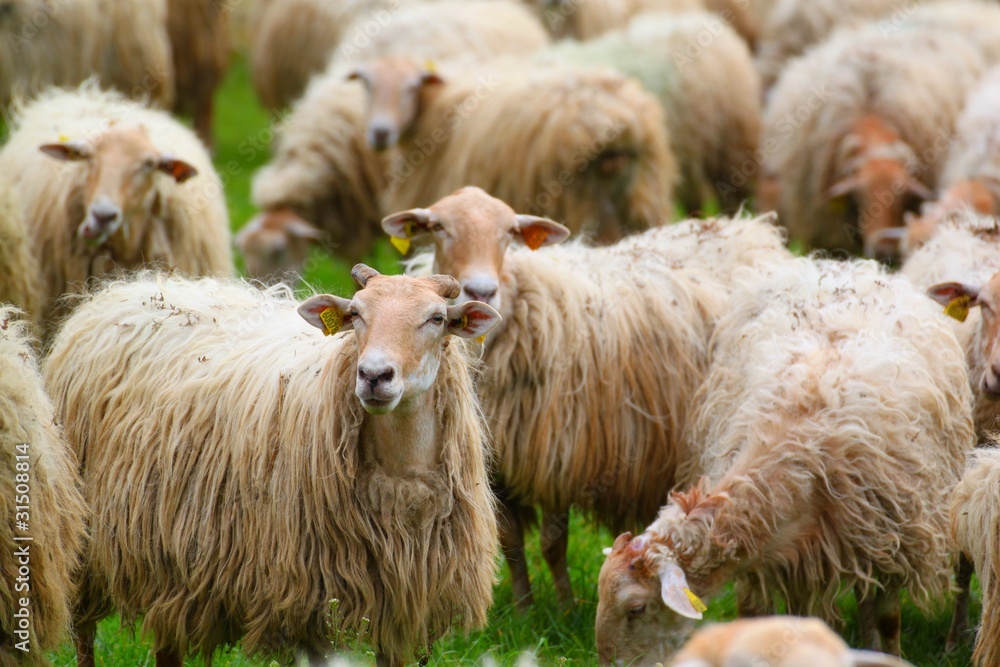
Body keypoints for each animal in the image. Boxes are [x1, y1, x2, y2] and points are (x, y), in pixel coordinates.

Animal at [44, 266, 501, 667]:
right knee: (84, 633)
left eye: (437, 318)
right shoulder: (309, 602)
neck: (401, 473)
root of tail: (125, 287)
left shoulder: (402, 604)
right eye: (355, 314)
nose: (374, 375)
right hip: (85, 542)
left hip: (167, 555)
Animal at [385, 186, 791, 609]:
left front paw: (564, 607)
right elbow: (511, 543)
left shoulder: (561, 455)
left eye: (509, 233)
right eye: (438, 228)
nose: (482, 290)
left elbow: (553, 545)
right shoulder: (500, 465)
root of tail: (750, 228)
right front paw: (523, 607)